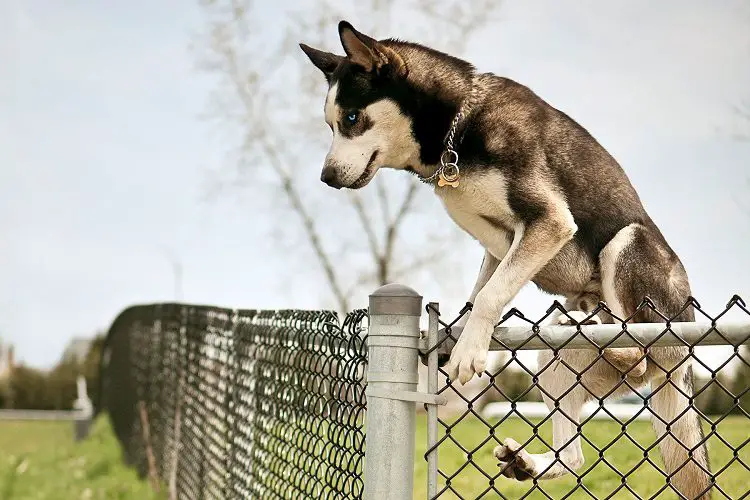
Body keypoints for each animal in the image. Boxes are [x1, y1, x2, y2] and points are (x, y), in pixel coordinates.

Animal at [302, 21, 712, 498]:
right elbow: (478, 293)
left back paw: (596, 327)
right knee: (574, 456)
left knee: (639, 348)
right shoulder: (499, 247)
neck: (458, 127)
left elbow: (489, 297)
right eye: (330, 123)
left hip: (629, 244)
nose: (326, 177)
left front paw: (468, 351)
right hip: (555, 365)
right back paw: (529, 458)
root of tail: (681, 361)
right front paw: (452, 341)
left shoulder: (548, 221)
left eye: (351, 119)